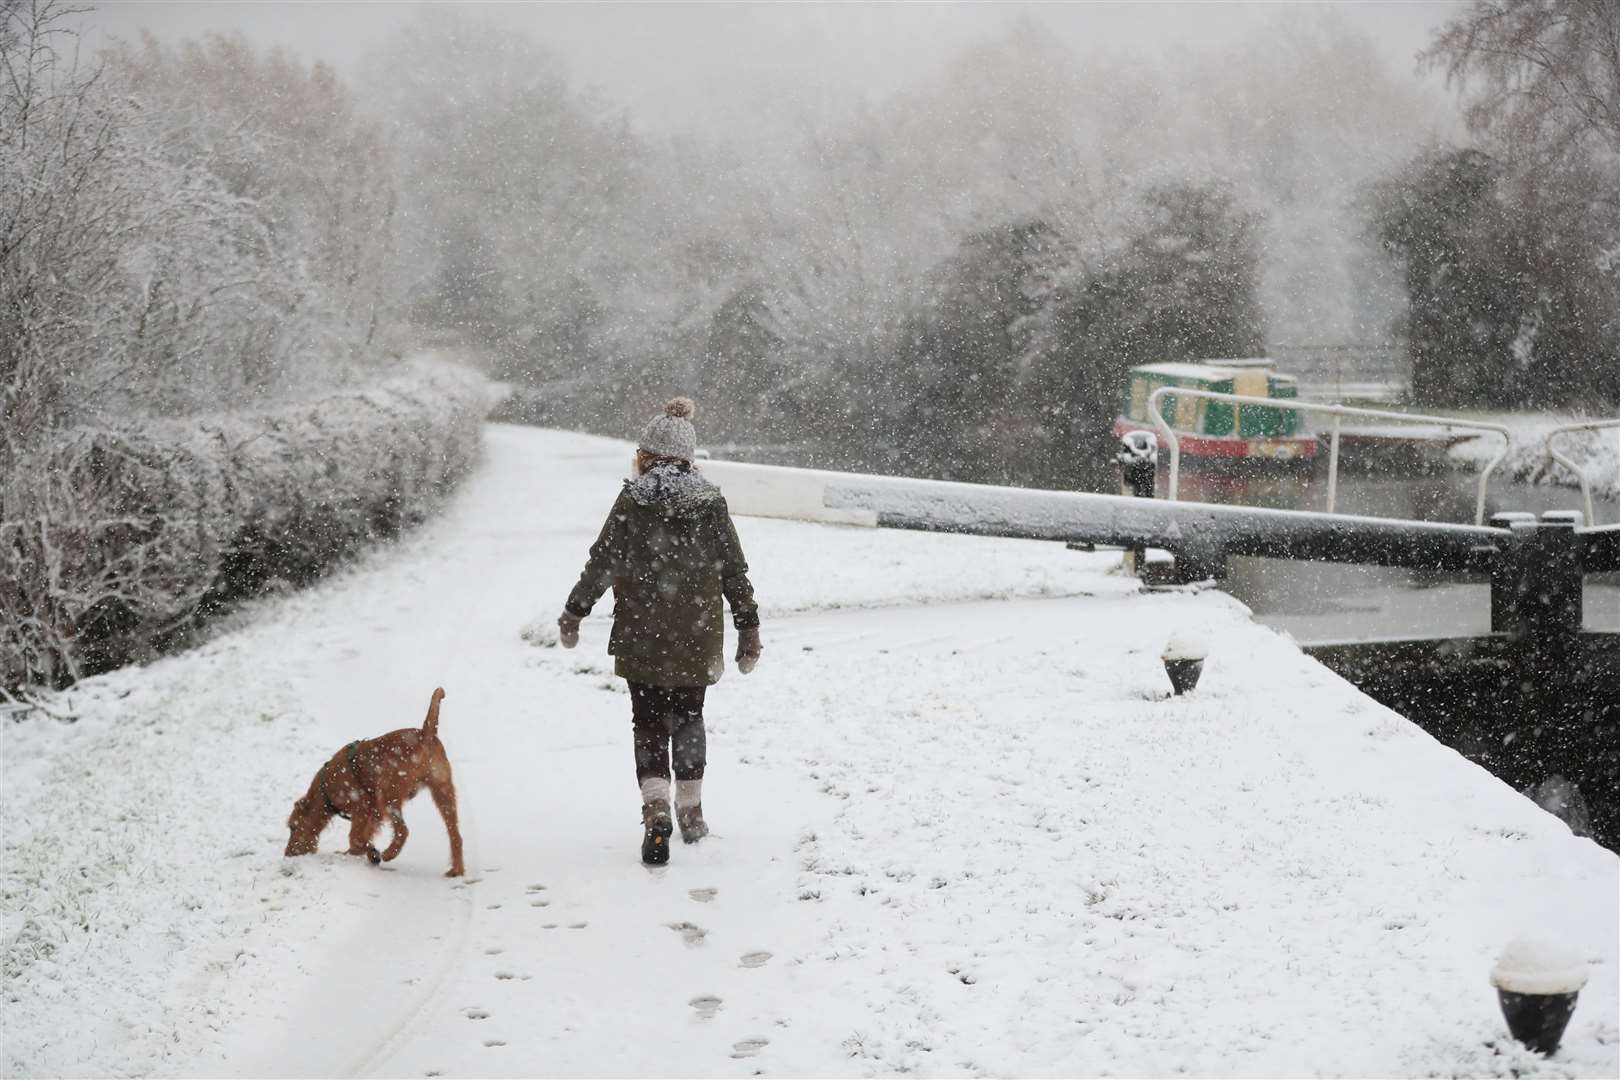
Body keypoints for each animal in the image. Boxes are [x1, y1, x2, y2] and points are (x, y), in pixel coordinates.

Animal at [281, 689, 463, 874]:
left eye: (293, 827)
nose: (287, 853)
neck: (325, 790)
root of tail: (426, 734)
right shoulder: (373, 812)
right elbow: (363, 836)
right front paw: (360, 853)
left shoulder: (362, 807)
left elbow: (356, 838)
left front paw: (371, 853)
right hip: (443, 792)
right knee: (455, 835)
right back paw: (457, 870)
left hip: (389, 795)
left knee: (403, 830)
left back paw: (389, 853)